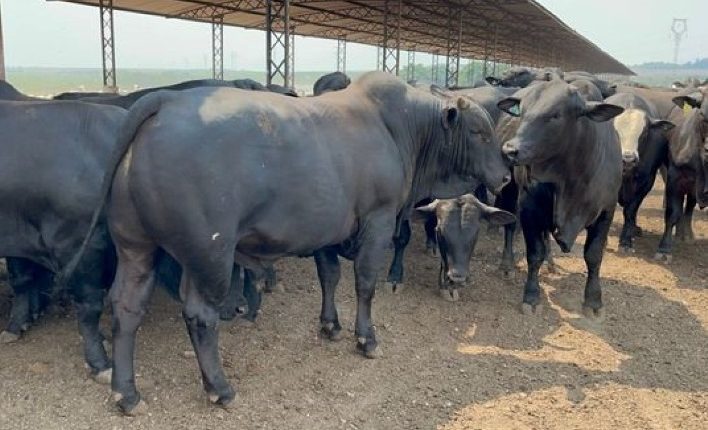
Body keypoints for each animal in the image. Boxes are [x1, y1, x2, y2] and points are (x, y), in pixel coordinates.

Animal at [65, 72, 508, 414]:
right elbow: (365, 283)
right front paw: (366, 338)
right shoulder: (378, 221)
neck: (396, 126)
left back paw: (126, 393)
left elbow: (329, 276)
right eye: (479, 132)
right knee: (200, 315)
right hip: (210, 254)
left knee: (127, 308)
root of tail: (165, 101)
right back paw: (219, 388)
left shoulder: (329, 227)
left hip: (135, 245)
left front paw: (330, 325)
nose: (505, 174)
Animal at [496, 80, 624, 316]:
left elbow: (594, 255)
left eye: (555, 115)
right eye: (522, 111)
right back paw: (507, 264)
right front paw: (531, 296)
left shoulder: (606, 211)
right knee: (509, 225)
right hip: (509, 189)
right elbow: (534, 253)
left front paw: (593, 300)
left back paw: (551, 262)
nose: (510, 149)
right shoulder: (529, 208)